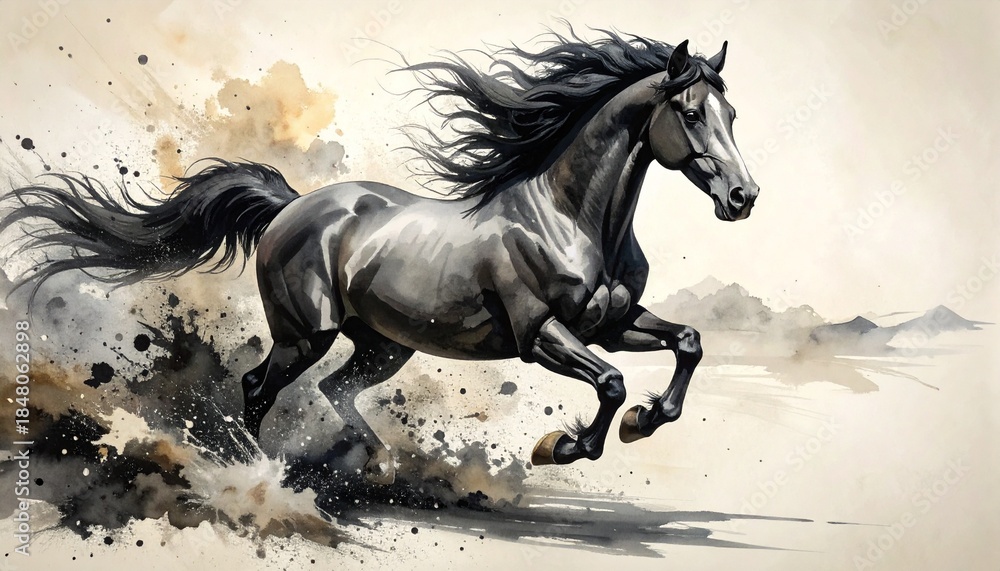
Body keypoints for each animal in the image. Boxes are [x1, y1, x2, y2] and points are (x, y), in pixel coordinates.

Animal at [1, 30, 757, 484]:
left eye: (732, 114)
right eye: (691, 113)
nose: (743, 197)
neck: (569, 218)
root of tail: (291, 207)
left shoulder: (613, 323)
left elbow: (686, 343)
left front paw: (643, 422)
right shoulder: (542, 334)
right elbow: (610, 384)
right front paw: (568, 445)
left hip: (384, 345)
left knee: (337, 390)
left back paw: (375, 458)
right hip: (306, 334)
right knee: (259, 386)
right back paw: (260, 472)